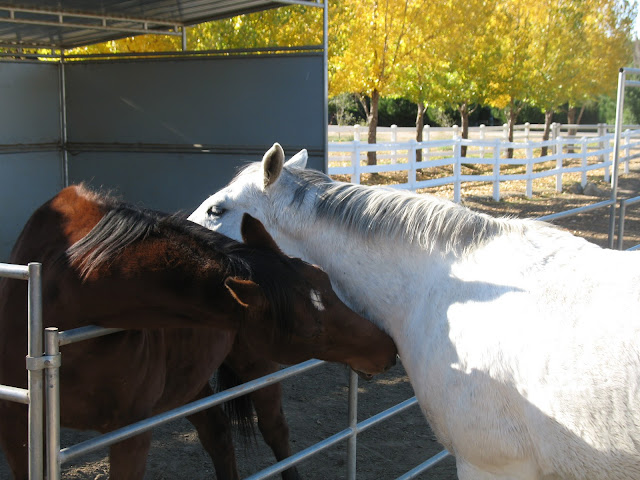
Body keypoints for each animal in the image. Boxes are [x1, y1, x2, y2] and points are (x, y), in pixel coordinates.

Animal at [0, 184, 397, 480]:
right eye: (311, 331)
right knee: (218, 435)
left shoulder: (131, 432)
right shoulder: (19, 431)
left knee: (275, 433)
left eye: (327, 281)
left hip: (254, 369)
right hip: (189, 383)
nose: (388, 347)